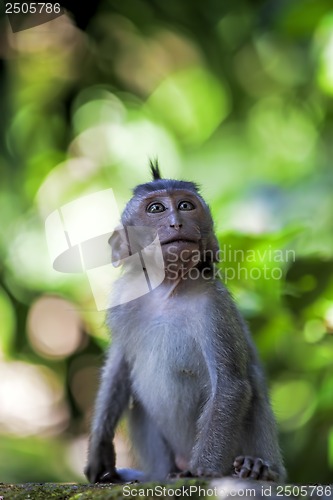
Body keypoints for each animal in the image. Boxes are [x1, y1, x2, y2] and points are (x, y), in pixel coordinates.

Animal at [84, 161, 284, 484]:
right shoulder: (126, 298)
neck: (168, 290)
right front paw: (99, 449)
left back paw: (258, 468)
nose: (177, 222)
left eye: (186, 206)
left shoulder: (214, 306)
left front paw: (201, 471)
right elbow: (120, 365)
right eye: (156, 208)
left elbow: (230, 385)